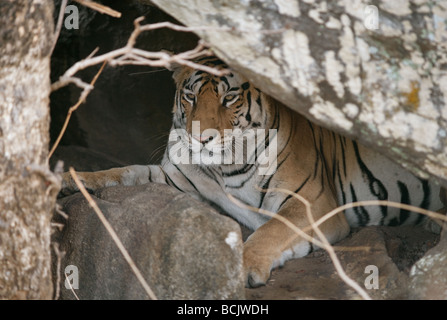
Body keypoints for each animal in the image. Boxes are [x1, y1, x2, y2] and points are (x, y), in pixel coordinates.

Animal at [59, 55, 444, 288]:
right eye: (190, 96)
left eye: (229, 98)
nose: (201, 138)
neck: (225, 163)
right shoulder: (177, 180)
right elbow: (125, 171)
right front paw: (68, 180)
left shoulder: (311, 202)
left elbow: (270, 231)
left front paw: (241, 269)